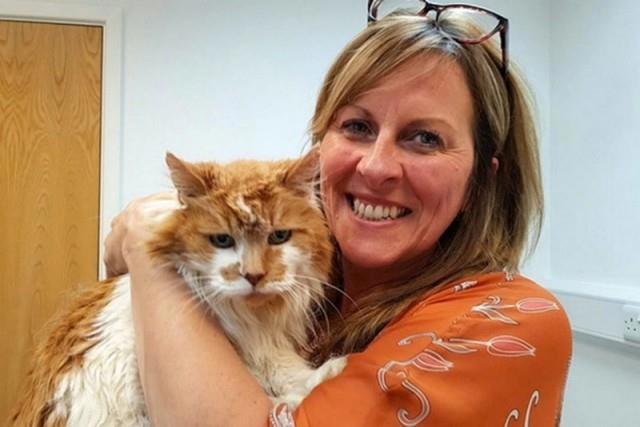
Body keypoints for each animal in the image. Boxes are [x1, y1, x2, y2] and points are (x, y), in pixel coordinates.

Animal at [10, 149, 346, 426]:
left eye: (279, 236)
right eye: (222, 240)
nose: (253, 275)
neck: (250, 321)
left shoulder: (268, 345)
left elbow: (287, 372)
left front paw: (325, 372)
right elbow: (279, 389)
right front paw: (319, 379)